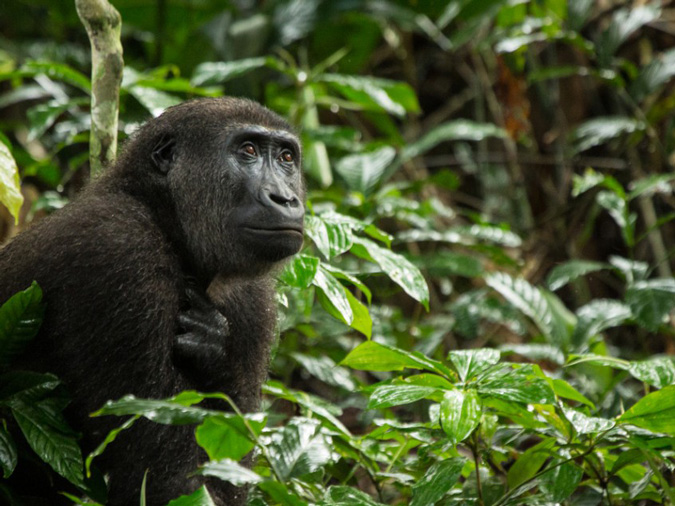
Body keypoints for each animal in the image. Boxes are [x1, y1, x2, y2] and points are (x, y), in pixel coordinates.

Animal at [0, 97, 306, 504]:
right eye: (248, 151)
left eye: (287, 157)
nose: (286, 198)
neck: (165, 217)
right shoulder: (118, 249)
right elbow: (168, 473)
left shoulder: (254, 300)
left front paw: (215, 350)